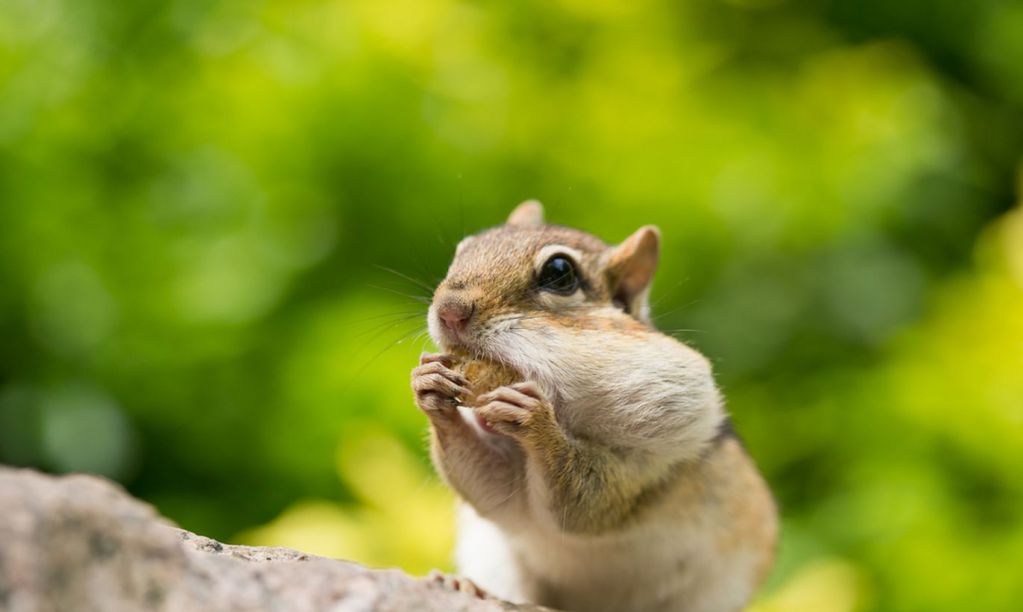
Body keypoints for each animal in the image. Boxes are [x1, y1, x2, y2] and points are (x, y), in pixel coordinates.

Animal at [411, 201, 777, 612]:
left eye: (559, 272)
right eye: (463, 250)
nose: (448, 310)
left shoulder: (659, 450)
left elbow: (589, 504)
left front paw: (536, 422)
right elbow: (491, 488)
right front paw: (429, 388)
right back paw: (469, 586)